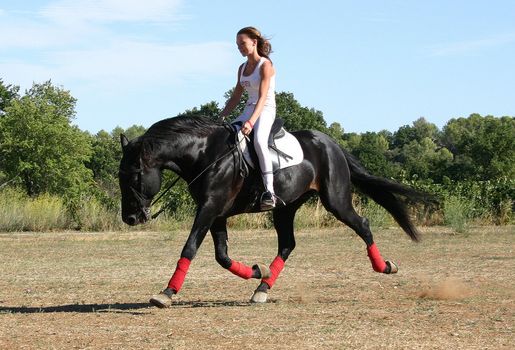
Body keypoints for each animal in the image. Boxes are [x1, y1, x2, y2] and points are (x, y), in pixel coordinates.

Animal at [119, 116, 430, 308]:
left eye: (134, 175)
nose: (130, 218)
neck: (206, 155)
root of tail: (332, 144)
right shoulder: (216, 213)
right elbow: (222, 256)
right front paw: (257, 270)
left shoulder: (210, 208)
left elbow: (190, 247)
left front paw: (166, 293)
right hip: (286, 207)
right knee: (287, 245)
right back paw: (262, 288)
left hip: (336, 200)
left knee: (362, 224)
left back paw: (385, 266)